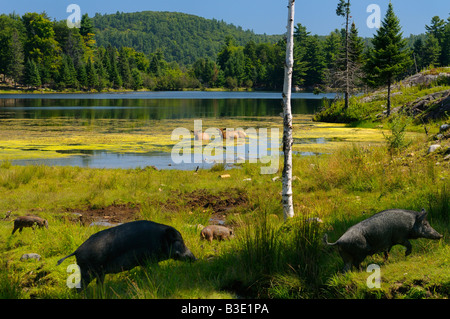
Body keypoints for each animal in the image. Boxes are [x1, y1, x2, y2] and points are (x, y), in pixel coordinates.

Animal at [57, 221, 196, 292]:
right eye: (180, 240)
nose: (195, 258)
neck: (159, 239)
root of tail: (76, 250)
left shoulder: (144, 262)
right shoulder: (149, 259)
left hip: (98, 273)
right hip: (89, 272)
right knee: (80, 287)